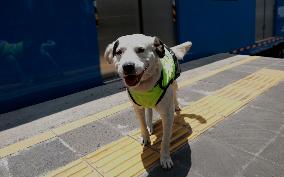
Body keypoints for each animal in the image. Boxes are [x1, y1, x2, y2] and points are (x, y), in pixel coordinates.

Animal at [105, 34, 192, 169]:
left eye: (140, 50)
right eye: (119, 52)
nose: (127, 66)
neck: (144, 87)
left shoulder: (167, 114)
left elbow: (165, 140)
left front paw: (165, 158)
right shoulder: (137, 108)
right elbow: (142, 124)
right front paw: (145, 136)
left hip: (174, 83)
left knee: (175, 94)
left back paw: (177, 105)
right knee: (149, 111)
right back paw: (150, 125)